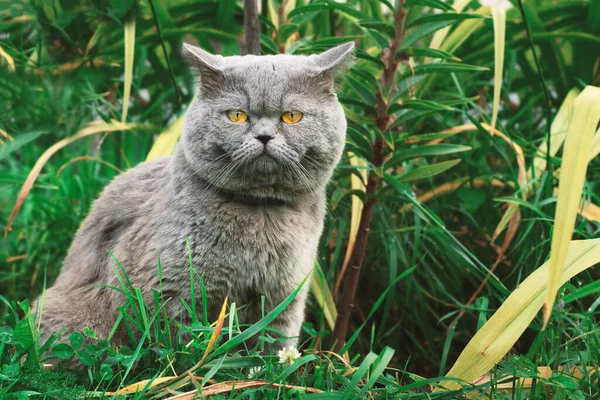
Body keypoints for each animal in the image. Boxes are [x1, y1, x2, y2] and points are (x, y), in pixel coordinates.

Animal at [35, 41, 354, 350]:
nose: (264, 136)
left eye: (292, 116)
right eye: (237, 115)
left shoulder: (285, 295)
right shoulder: (171, 290)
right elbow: (184, 346)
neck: (260, 213)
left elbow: (274, 343)